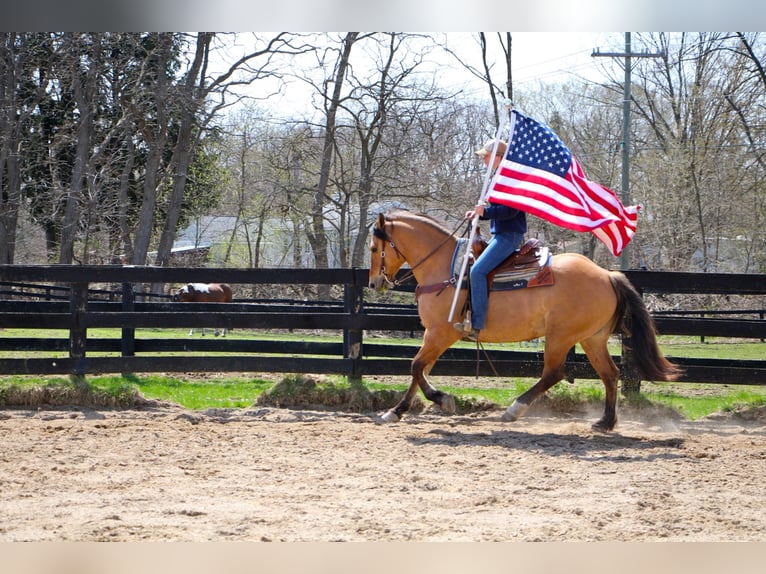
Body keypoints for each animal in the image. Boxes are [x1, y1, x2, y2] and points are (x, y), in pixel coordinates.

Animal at [368, 210, 684, 432]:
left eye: (373, 248)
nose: (374, 283)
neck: (446, 268)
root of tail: (607, 275)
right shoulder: (432, 335)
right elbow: (419, 370)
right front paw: (395, 411)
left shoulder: (441, 333)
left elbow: (416, 367)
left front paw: (442, 400)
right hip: (592, 338)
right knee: (610, 374)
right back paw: (605, 422)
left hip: (560, 337)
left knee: (553, 373)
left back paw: (515, 409)